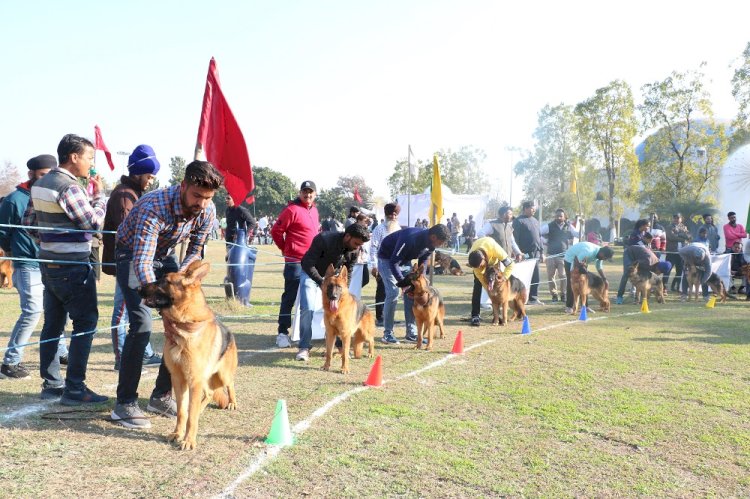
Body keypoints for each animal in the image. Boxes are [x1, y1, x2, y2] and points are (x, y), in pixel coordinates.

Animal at [139, 262, 238, 454]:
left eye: (165, 281)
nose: (138, 288)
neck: (184, 325)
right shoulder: (179, 379)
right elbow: (183, 412)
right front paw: (178, 434)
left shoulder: (194, 380)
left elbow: (191, 415)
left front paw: (189, 440)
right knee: (209, 393)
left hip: (221, 376)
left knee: (230, 384)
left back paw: (232, 402)